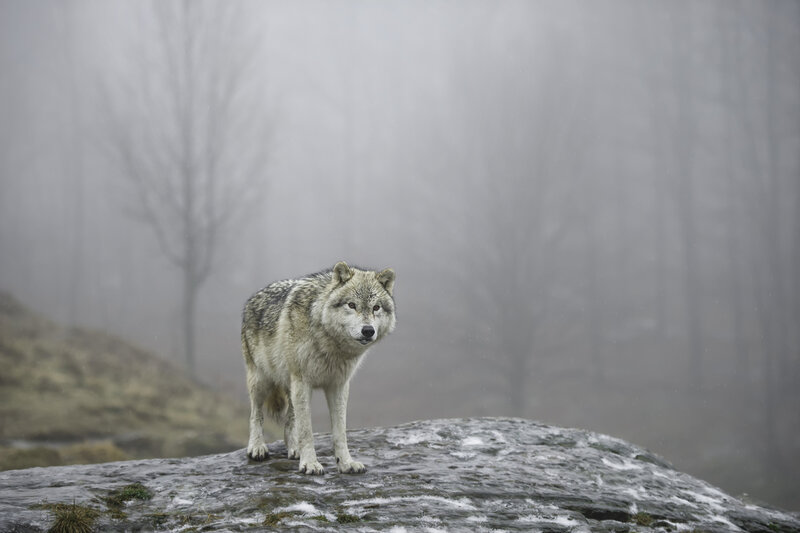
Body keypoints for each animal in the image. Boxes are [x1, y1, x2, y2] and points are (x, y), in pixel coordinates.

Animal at [241, 261, 396, 475]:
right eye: (352, 305)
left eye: (376, 308)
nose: (368, 330)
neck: (330, 344)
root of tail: (253, 297)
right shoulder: (303, 383)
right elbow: (307, 430)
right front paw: (310, 464)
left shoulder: (338, 386)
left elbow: (340, 432)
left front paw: (345, 463)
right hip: (261, 381)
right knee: (255, 414)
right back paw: (257, 447)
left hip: (290, 386)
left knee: (290, 420)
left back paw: (294, 449)